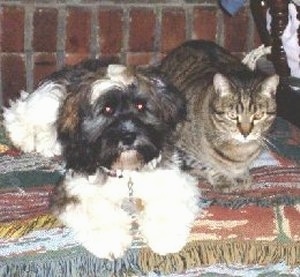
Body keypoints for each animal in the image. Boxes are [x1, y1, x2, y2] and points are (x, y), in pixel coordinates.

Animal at [2, 59, 202, 258]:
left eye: (141, 106)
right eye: (107, 109)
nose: (128, 137)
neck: (125, 170)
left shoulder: (173, 178)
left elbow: (166, 203)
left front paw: (166, 237)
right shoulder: (75, 188)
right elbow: (98, 209)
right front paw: (111, 240)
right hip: (50, 100)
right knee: (18, 111)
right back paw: (25, 136)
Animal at [159, 40, 278, 192]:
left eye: (258, 115)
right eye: (232, 115)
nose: (245, 133)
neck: (239, 150)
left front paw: (242, 174)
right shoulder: (180, 148)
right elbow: (205, 164)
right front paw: (222, 177)